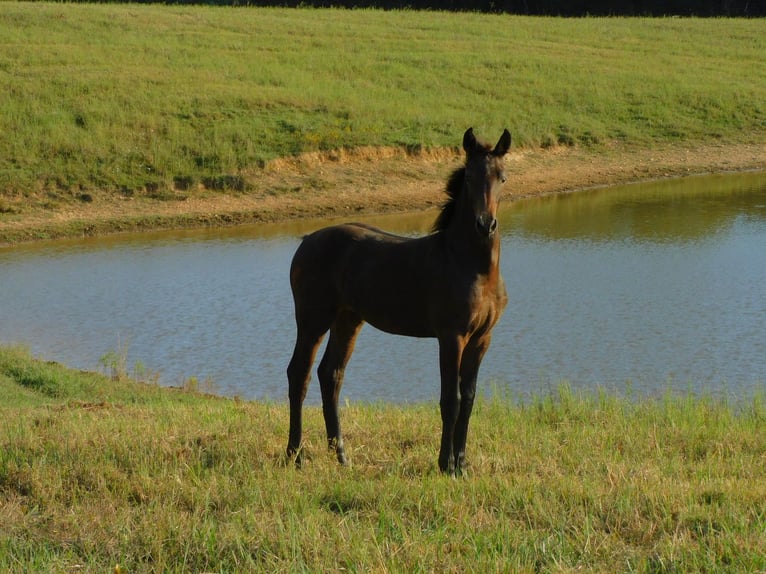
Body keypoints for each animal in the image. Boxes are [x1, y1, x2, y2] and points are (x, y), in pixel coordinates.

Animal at [286, 128, 510, 475]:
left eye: (502, 177)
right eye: (470, 177)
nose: (485, 225)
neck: (470, 265)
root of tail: (307, 240)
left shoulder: (482, 338)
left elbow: (470, 398)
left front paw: (462, 464)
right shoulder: (451, 337)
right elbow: (451, 400)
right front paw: (446, 465)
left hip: (347, 321)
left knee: (330, 374)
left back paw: (342, 456)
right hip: (313, 320)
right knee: (300, 374)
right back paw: (295, 455)